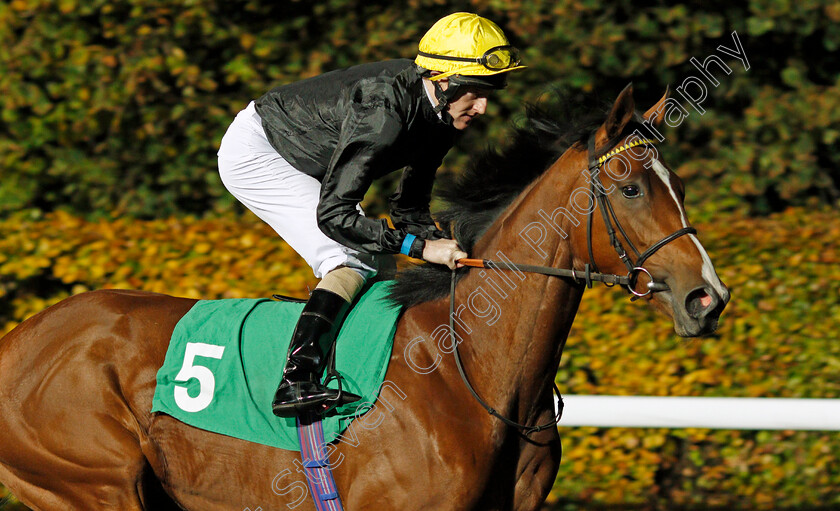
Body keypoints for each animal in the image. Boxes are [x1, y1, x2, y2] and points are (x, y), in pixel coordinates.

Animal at [0, 86, 724, 510]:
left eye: (681, 184)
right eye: (631, 188)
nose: (707, 298)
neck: (468, 365)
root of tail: (19, 337)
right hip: (91, 480)